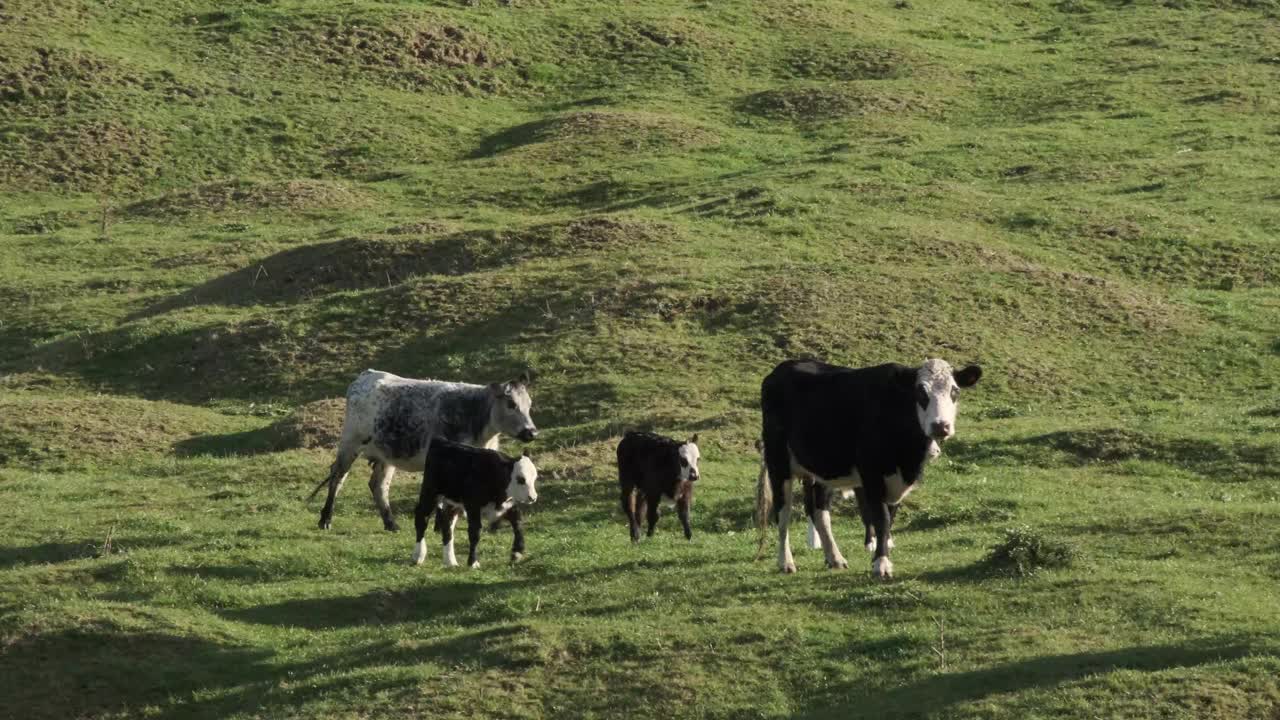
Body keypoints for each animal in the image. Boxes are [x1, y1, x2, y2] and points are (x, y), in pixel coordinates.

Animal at [311, 366, 540, 530]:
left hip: (386, 455)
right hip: (350, 443)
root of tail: (366, 376)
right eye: (511, 404)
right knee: (337, 477)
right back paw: (325, 519)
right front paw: (441, 525)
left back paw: (391, 523)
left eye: (529, 403)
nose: (532, 432)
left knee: (378, 485)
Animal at [412, 438, 537, 566]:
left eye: (534, 478)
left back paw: (451, 561)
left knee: (447, 525)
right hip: (430, 493)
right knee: (422, 518)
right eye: (520, 479)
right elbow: (475, 532)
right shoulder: (473, 507)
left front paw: (517, 552)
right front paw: (473, 562)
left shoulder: (508, 506)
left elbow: (518, 524)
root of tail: (440, 442)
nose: (533, 497)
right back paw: (419, 555)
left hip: (453, 503)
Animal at [747, 356, 977, 576]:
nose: (940, 426)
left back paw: (835, 558)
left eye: (955, 391)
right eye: (920, 392)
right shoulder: (871, 475)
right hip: (779, 463)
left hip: (823, 471)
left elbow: (889, 518)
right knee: (783, 513)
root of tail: (782, 368)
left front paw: (881, 556)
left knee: (819, 512)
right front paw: (881, 564)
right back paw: (786, 562)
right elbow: (880, 518)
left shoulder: (896, 481)